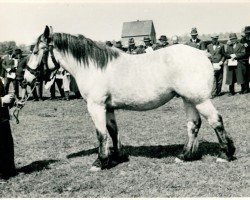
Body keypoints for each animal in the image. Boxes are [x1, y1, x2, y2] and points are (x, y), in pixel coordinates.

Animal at [23, 25, 234, 171]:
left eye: (35, 51)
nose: (26, 79)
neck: (94, 66)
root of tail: (203, 54)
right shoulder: (108, 107)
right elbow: (112, 131)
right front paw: (117, 157)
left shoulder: (96, 106)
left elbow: (101, 134)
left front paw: (100, 162)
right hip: (188, 99)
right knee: (193, 125)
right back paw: (184, 156)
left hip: (200, 100)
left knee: (216, 121)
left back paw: (225, 154)